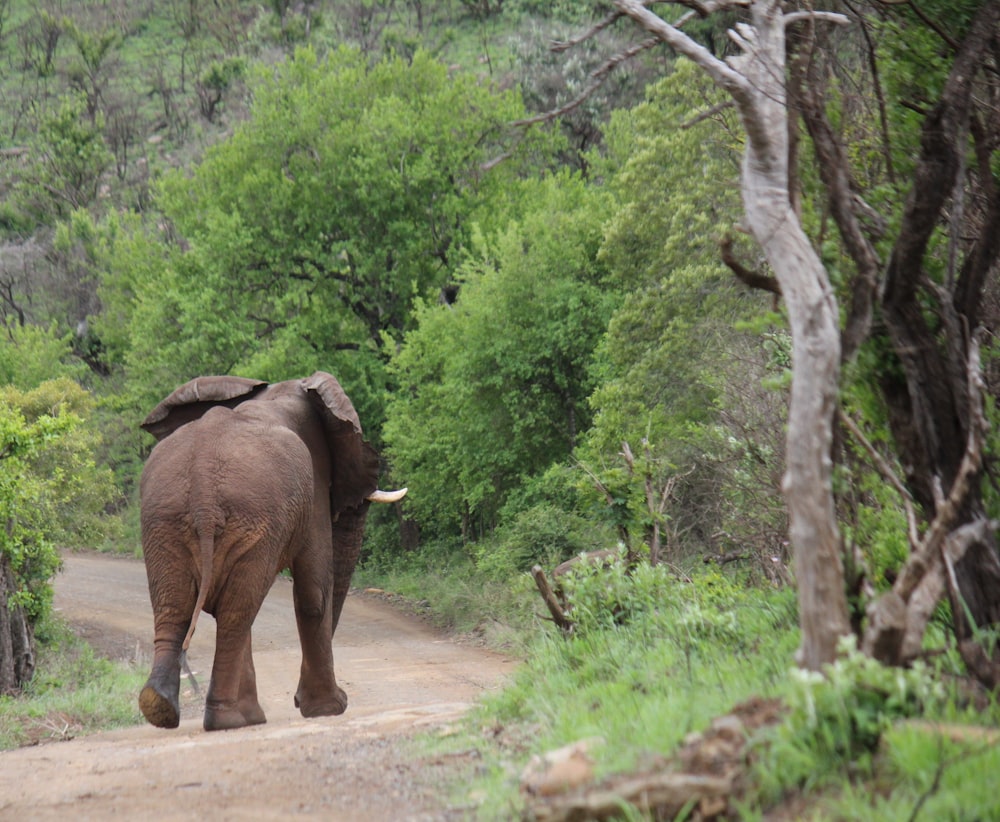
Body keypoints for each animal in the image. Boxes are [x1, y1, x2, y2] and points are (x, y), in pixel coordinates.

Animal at [137, 374, 406, 732]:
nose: (295, 699)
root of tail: (204, 483)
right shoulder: (314, 485)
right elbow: (314, 593)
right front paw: (328, 709)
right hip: (249, 518)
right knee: (237, 614)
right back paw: (228, 720)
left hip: (164, 521)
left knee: (178, 608)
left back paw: (163, 708)